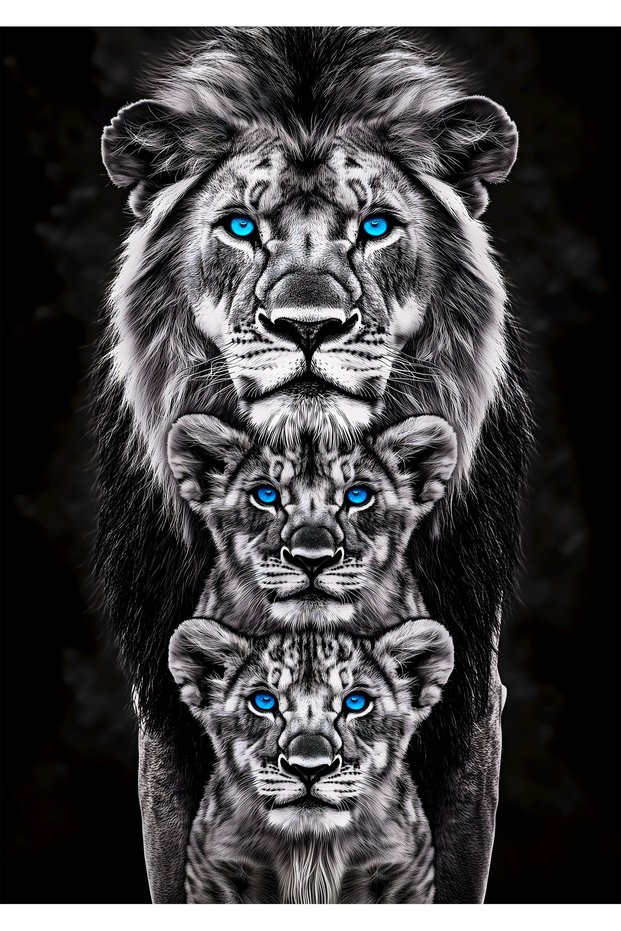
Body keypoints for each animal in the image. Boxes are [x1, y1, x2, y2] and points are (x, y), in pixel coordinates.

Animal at [169, 617, 454, 903]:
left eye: (356, 702)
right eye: (263, 701)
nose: (309, 769)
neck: (310, 850)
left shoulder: (404, 871)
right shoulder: (215, 869)